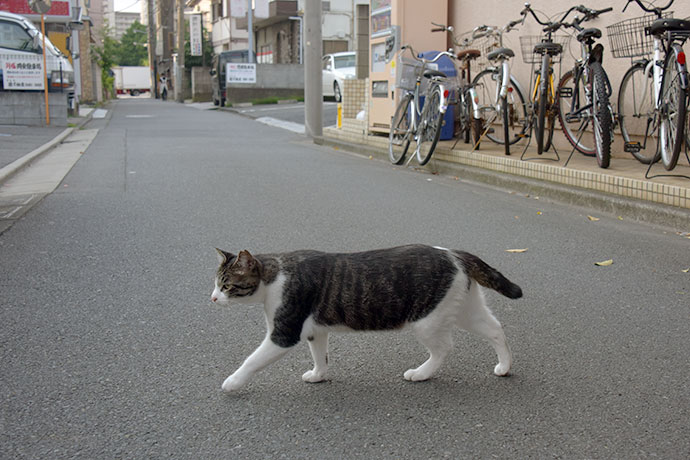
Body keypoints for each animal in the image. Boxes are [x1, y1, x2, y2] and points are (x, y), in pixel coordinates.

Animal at [211, 244, 520, 392]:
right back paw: (504, 366)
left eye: (226, 285)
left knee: (444, 348)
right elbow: (320, 356)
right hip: (466, 309)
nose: (212, 298)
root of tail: (454, 253)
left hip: (427, 321)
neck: (274, 275)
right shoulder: (314, 331)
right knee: (496, 329)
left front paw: (233, 382)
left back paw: (421, 373)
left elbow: (252, 360)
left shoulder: (283, 334)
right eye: (216, 283)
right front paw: (319, 375)